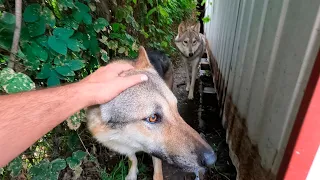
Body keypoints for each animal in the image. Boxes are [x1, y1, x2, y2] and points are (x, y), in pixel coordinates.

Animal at [85, 47, 216, 179]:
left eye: (175, 108)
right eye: (153, 118)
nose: (212, 159)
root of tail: (157, 50)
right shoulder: (128, 146)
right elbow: (132, 158)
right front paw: (132, 174)